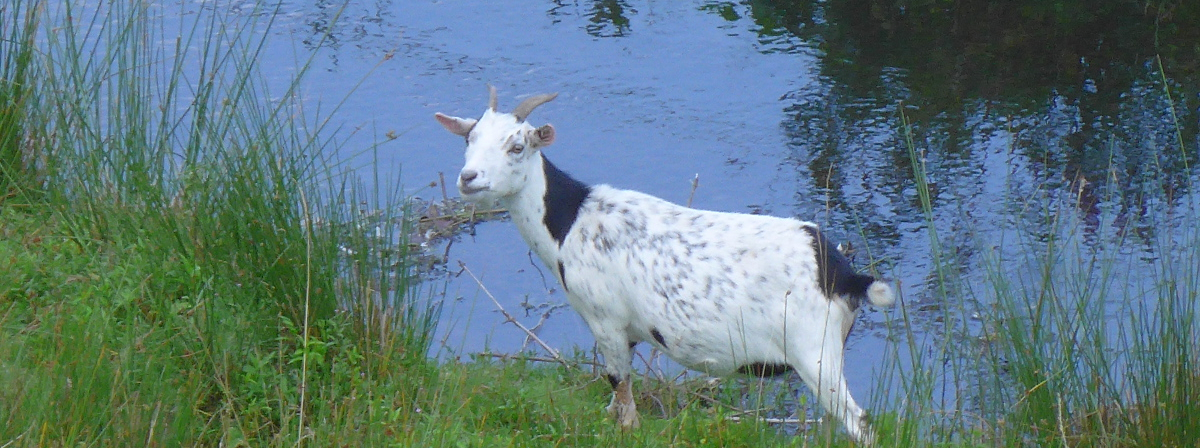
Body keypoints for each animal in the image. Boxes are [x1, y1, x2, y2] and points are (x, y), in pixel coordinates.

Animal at [436, 85, 897, 441]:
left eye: (517, 146)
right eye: (468, 140)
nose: (468, 178)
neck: (570, 222)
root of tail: (842, 272)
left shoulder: (605, 319)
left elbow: (622, 393)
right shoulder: (628, 331)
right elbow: (614, 401)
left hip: (814, 351)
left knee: (859, 423)